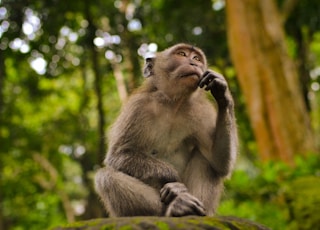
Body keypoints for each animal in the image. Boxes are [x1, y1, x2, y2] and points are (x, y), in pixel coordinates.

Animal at [95, 43, 238, 217]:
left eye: (197, 58)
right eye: (182, 54)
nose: (194, 63)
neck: (173, 104)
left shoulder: (201, 111)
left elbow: (219, 162)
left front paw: (222, 92)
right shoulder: (137, 107)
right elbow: (118, 155)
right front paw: (174, 181)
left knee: (206, 159)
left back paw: (195, 211)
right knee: (105, 176)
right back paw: (175, 206)